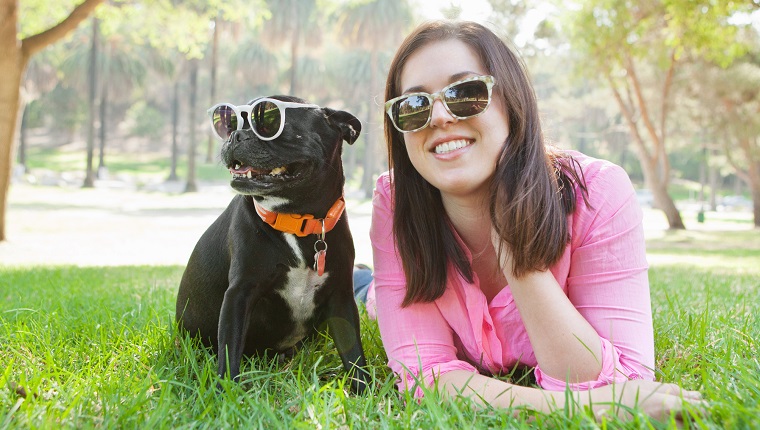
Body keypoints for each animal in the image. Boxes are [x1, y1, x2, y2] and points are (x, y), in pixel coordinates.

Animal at [176, 95, 372, 394]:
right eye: (231, 123)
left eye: (268, 122)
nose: (235, 134)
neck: (297, 221)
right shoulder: (239, 294)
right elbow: (229, 351)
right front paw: (225, 394)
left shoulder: (341, 297)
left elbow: (353, 352)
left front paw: (365, 391)